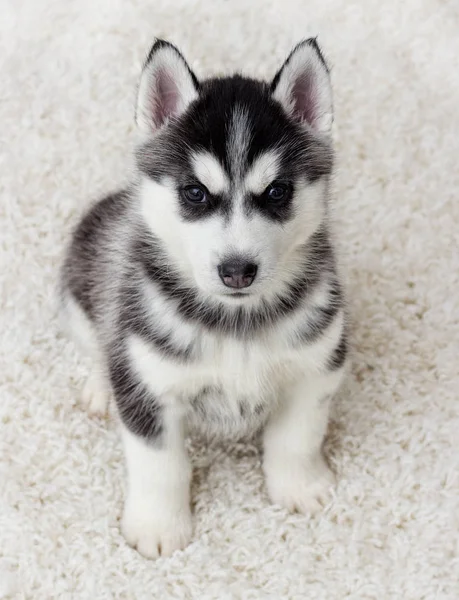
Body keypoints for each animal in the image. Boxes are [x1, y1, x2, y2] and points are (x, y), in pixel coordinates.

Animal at [61, 38, 348, 556]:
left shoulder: (315, 369)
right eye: (195, 193)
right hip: (81, 301)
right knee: (97, 346)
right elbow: (160, 468)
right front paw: (159, 526)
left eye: (278, 191)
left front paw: (300, 487)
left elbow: (297, 439)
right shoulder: (148, 389)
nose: (237, 270)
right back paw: (99, 387)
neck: (235, 321)